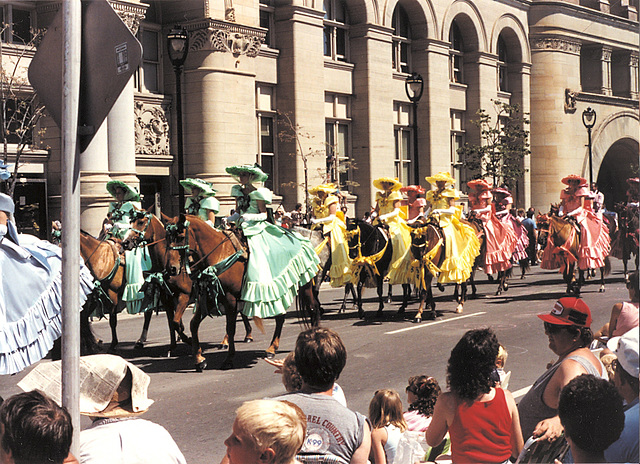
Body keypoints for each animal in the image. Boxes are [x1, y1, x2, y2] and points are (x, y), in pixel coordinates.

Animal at [162, 216, 318, 372]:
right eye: (167, 238)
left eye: (181, 237)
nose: (171, 269)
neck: (219, 254)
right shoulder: (208, 298)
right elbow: (193, 325)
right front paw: (199, 359)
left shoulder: (230, 299)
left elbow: (230, 328)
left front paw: (229, 359)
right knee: (283, 317)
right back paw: (272, 348)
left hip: (305, 286)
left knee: (312, 309)